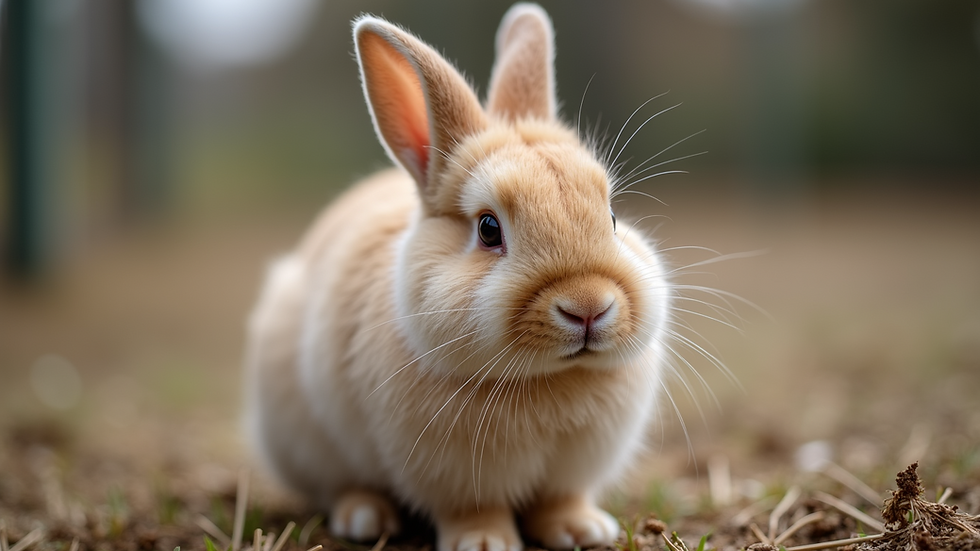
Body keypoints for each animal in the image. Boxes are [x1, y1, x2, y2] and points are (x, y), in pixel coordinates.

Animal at [244, 4, 672, 551]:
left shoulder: (569, 472)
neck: (546, 379)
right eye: (489, 229)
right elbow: (473, 509)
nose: (588, 307)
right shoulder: (452, 476)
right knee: (338, 483)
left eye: (614, 217)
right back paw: (365, 517)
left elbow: (560, 500)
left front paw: (583, 529)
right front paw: (485, 542)